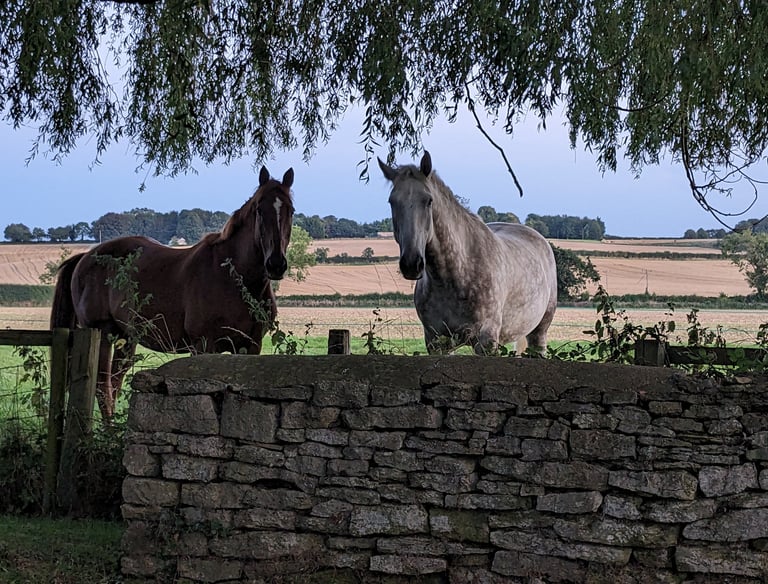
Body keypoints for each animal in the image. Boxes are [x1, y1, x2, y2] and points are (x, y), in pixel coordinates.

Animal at [51, 166, 295, 419]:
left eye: (291, 211)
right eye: (259, 210)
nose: (276, 264)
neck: (234, 278)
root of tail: (86, 257)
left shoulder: (251, 346)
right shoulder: (203, 346)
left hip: (126, 337)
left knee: (115, 384)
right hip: (103, 334)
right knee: (102, 387)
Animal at [378, 151, 557, 355]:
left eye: (428, 200)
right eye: (392, 201)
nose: (411, 264)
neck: (455, 274)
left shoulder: (486, 342)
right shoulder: (436, 342)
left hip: (539, 333)